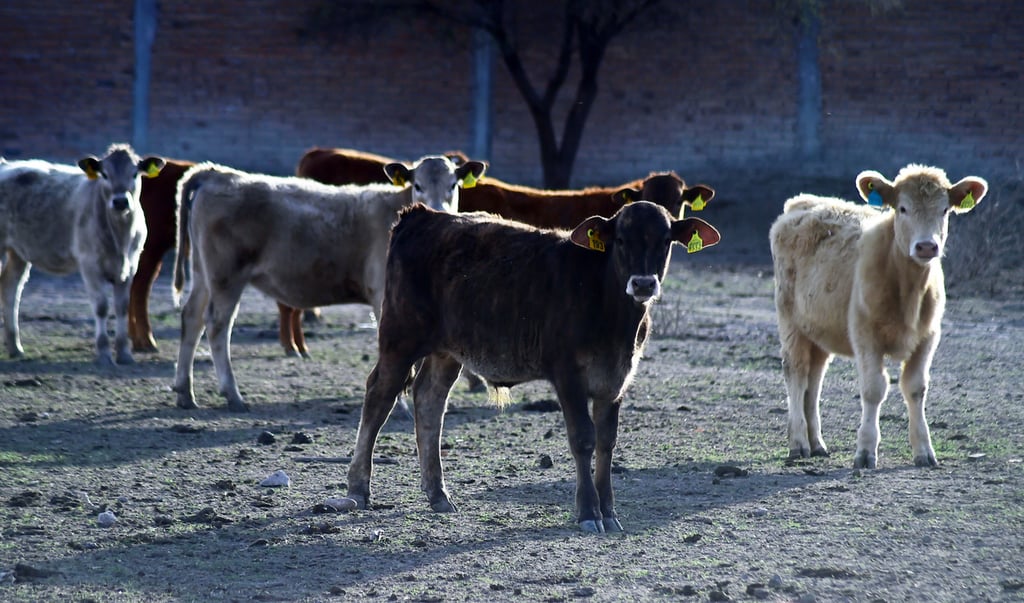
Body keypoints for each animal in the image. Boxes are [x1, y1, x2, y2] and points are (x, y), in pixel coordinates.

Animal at [0, 143, 163, 364]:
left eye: (135, 173)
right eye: (104, 174)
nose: (120, 201)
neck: (120, 237)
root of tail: (5, 164)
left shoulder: (130, 267)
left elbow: (122, 307)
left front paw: (124, 354)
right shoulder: (90, 265)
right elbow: (102, 307)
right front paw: (104, 354)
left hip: (18, 251)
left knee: (10, 289)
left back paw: (16, 348)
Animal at [173, 152, 487, 411]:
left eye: (453, 185)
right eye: (417, 185)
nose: (439, 209)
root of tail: (217, 173)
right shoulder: (384, 296)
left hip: (202, 273)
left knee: (192, 318)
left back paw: (185, 392)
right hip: (226, 276)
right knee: (217, 324)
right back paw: (232, 394)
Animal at [342, 202, 720, 532]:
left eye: (665, 240)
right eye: (622, 239)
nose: (643, 283)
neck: (608, 307)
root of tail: (422, 215)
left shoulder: (615, 380)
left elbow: (606, 442)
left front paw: (610, 512)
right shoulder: (567, 373)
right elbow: (583, 439)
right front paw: (588, 512)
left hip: (446, 350)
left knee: (429, 400)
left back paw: (438, 493)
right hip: (400, 336)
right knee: (379, 396)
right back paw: (358, 487)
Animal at [770, 165, 987, 470]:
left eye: (944, 210)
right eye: (902, 208)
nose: (926, 247)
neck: (907, 291)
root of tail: (802, 201)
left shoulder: (928, 337)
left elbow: (915, 388)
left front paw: (924, 451)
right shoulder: (865, 335)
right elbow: (874, 389)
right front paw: (865, 451)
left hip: (820, 328)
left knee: (815, 379)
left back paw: (817, 444)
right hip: (791, 321)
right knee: (797, 372)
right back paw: (799, 443)